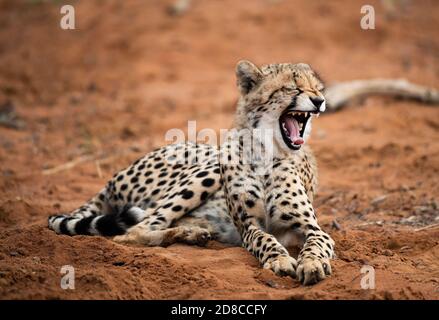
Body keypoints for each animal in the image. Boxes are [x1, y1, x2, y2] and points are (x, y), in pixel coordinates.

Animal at [49, 60, 336, 284]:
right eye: (293, 87)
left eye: (317, 88)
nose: (320, 101)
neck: (266, 152)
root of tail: (113, 177)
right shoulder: (248, 226)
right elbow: (263, 239)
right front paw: (279, 260)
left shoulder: (312, 227)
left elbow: (316, 243)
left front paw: (311, 264)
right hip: (208, 168)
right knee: (131, 232)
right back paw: (189, 234)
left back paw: (192, 232)